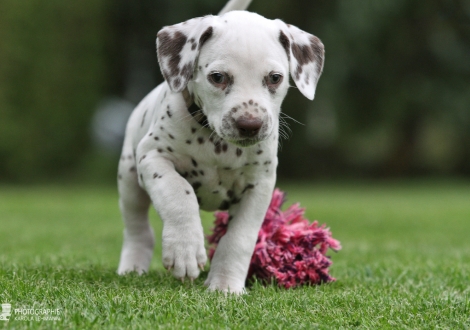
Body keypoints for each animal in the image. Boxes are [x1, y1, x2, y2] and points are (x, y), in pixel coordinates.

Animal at [117, 0, 324, 294]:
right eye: (217, 77)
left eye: (275, 78)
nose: (250, 124)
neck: (217, 145)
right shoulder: (154, 157)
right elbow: (178, 194)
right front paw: (185, 250)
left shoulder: (258, 187)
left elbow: (239, 238)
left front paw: (226, 285)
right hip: (129, 178)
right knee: (137, 227)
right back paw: (133, 266)